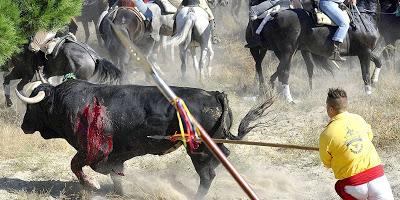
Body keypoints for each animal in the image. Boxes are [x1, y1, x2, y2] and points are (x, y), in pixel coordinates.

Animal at [18, 79, 268, 198]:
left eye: (33, 106)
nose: (23, 125)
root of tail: (215, 94)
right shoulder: (114, 155)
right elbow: (115, 173)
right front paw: (118, 192)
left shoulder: (95, 150)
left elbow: (78, 166)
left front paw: (93, 184)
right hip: (213, 145)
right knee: (223, 157)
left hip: (198, 151)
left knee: (207, 175)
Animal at [247, 0, 382, 101]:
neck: (364, 19)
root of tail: (275, 15)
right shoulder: (364, 52)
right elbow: (365, 74)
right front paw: (368, 93)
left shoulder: (365, 52)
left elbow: (378, 61)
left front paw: (374, 81)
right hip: (287, 51)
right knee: (282, 72)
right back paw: (289, 99)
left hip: (285, 52)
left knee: (277, 71)